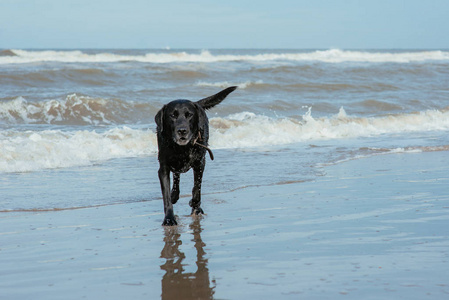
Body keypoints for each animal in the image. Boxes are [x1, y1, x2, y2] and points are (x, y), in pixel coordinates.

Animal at [155, 86, 236, 225]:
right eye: (173, 115)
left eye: (189, 115)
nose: (182, 131)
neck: (182, 148)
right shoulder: (163, 168)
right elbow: (166, 197)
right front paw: (169, 218)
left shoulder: (200, 163)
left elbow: (197, 188)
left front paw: (195, 205)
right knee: (176, 177)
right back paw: (174, 195)